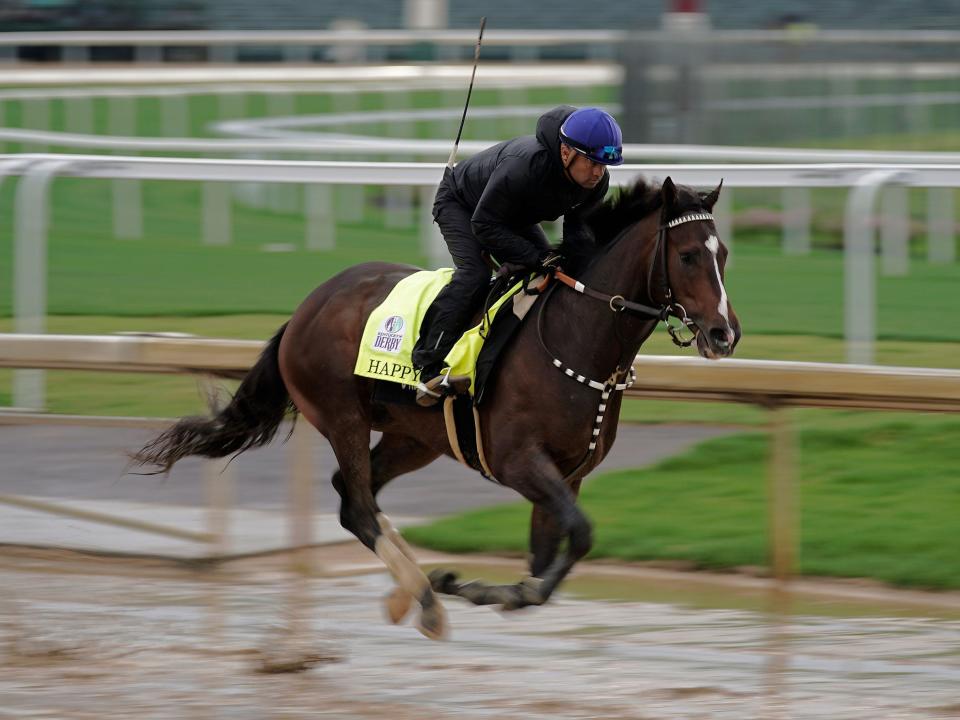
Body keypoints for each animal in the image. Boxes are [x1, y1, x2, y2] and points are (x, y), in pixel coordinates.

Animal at [129, 176, 744, 640]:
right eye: (688, 254)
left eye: (725, 254)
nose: (724, 333)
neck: (576, 338)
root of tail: (309, 305)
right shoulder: (521, 462)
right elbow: (580, 536)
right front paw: (482, 590)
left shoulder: (568, 474)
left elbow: (550, 554)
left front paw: (486, 588)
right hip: (343, 416)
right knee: (358, 506)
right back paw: (424, 599)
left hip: (412, 438)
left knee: (355, 497)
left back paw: (414, 591)